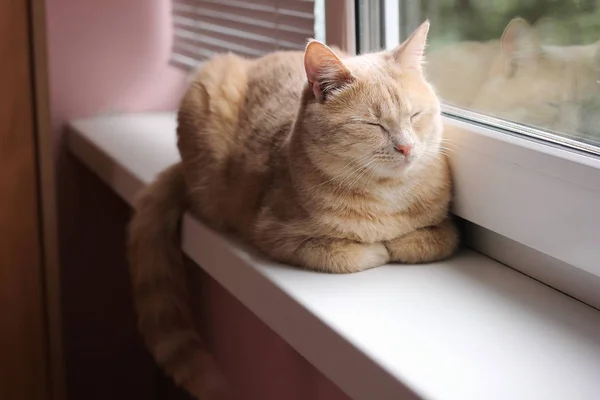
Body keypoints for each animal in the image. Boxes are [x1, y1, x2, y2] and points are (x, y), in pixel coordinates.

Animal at [127, 21, 454, 400]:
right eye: (373, 125)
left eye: (415, 116)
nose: (406, 147)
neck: (386, 194)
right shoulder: (275, 233)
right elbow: (351, 254)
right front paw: (377, 249)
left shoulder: (448, 228)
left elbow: (430, 241)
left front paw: (400, 242)